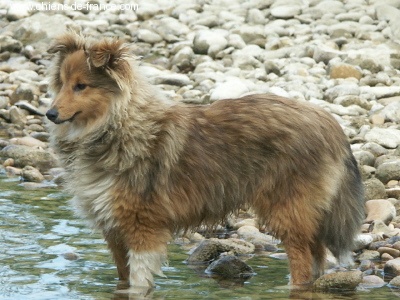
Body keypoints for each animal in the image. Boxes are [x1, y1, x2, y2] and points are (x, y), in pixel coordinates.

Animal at [45, 31, 364, 292]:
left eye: (81, 86)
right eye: (62, 84)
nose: (49, 114)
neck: (114, 127)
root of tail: (329, 122)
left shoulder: (142, 229)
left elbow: (139, 281)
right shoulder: (114, 230)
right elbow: (123, 279)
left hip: (287, 210)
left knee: (302, 264)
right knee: (317, 255)